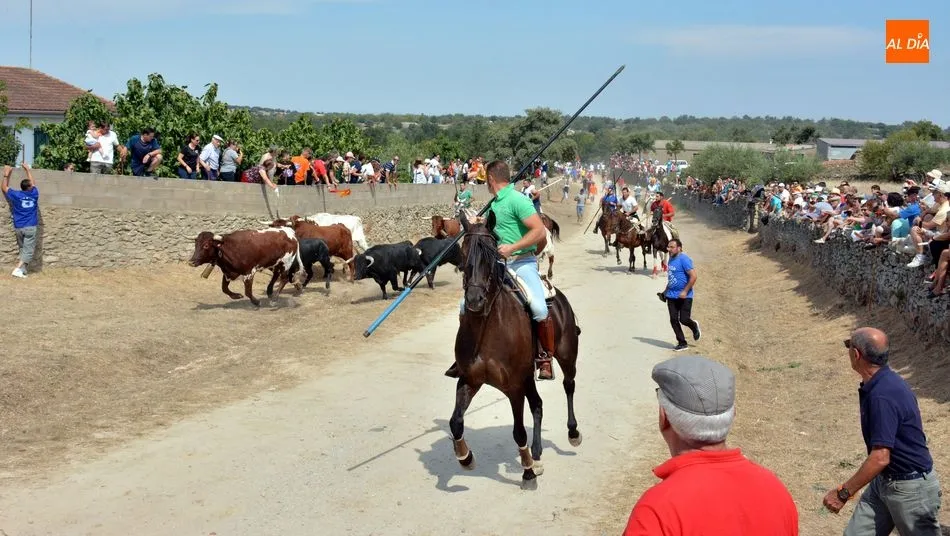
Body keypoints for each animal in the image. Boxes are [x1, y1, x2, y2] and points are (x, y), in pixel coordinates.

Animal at [451, 217, 582, 490]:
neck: (486, 328)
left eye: (491, 257)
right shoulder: (470, 379)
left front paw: (528, 472)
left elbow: (518, 431)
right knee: (538, 405)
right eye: (463, 255)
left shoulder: (513, 387)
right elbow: (455, 422)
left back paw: (572, 433)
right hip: (527, 376)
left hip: (566, 357)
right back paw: (537, 453)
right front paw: (465, 457)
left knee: (569, 385)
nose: (475, 300)